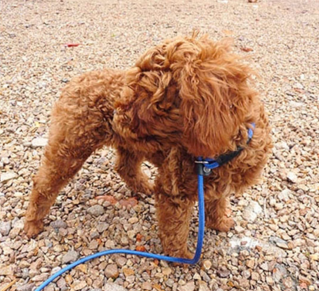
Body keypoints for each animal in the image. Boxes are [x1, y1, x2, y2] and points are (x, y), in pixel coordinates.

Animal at [24, 34, 272, 260]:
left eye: (145, 97)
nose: (116, 116)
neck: (216, 156)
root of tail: (77, 80)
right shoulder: (173, 192)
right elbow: (175, 231)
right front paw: (182, 258)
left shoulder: (216, 183)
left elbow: (216, 203)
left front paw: (220, 223)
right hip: (72, 145)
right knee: (43, 184)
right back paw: (32, 224)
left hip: (131, 143)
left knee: (124, 167)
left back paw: (143, 186)